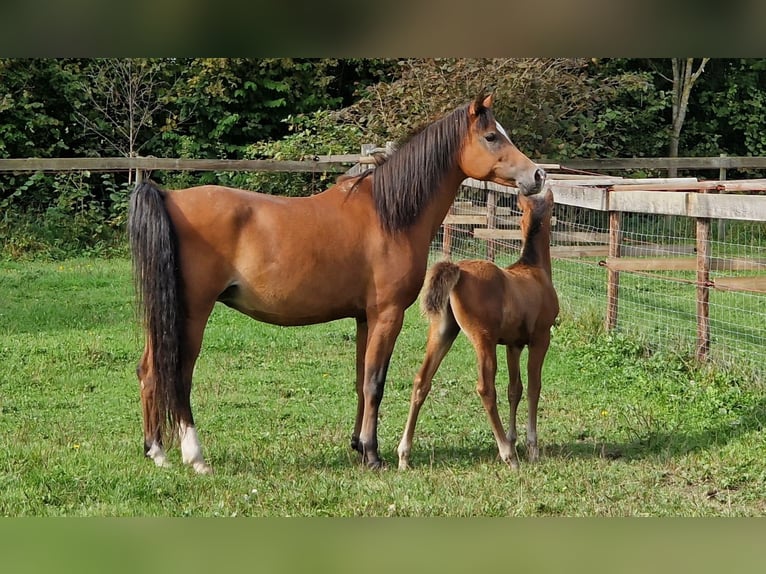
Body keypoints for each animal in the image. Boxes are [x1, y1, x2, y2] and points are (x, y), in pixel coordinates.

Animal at [127, 92, 544, 474]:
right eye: (491, 136)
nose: (537, 175)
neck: (389, 214)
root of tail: (169, 197)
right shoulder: (388, 315)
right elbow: (376, 382)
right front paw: (373, 454)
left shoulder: (364, 318)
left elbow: (361, 379)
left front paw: (358, 445)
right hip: (192, 314)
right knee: (178, 374)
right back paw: (194, 457)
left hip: (163, 316)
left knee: (149, 370)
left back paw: (156, 451)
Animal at [400, 187, 560, 470]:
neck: (534, 269)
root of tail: (458, 270)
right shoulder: (540, 339)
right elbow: (533, 387)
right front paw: (531, 448)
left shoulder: (513, 344)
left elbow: (514, 389)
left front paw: (514, 439)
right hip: (483, 339)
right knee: (486, 388)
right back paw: (508, 455)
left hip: (443, 332)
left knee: (421, 380)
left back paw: (404, 455)